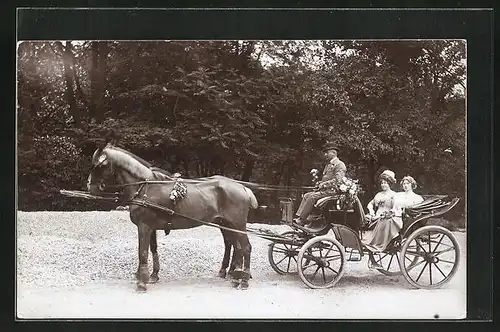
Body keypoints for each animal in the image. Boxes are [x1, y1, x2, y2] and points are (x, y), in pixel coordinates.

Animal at [87, 143, 258, 290]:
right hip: (227, 224)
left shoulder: (144, 226)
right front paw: (152, 275)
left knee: (246, 248)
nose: (90, 187)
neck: (145, 187)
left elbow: (142, 252)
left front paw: (142, 283)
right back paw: (235, 277)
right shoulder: (151, 227)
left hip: (237, 224)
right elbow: (152, 249)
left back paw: (243, 280)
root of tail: (242, 187)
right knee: (236, 247)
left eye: (100, 165)